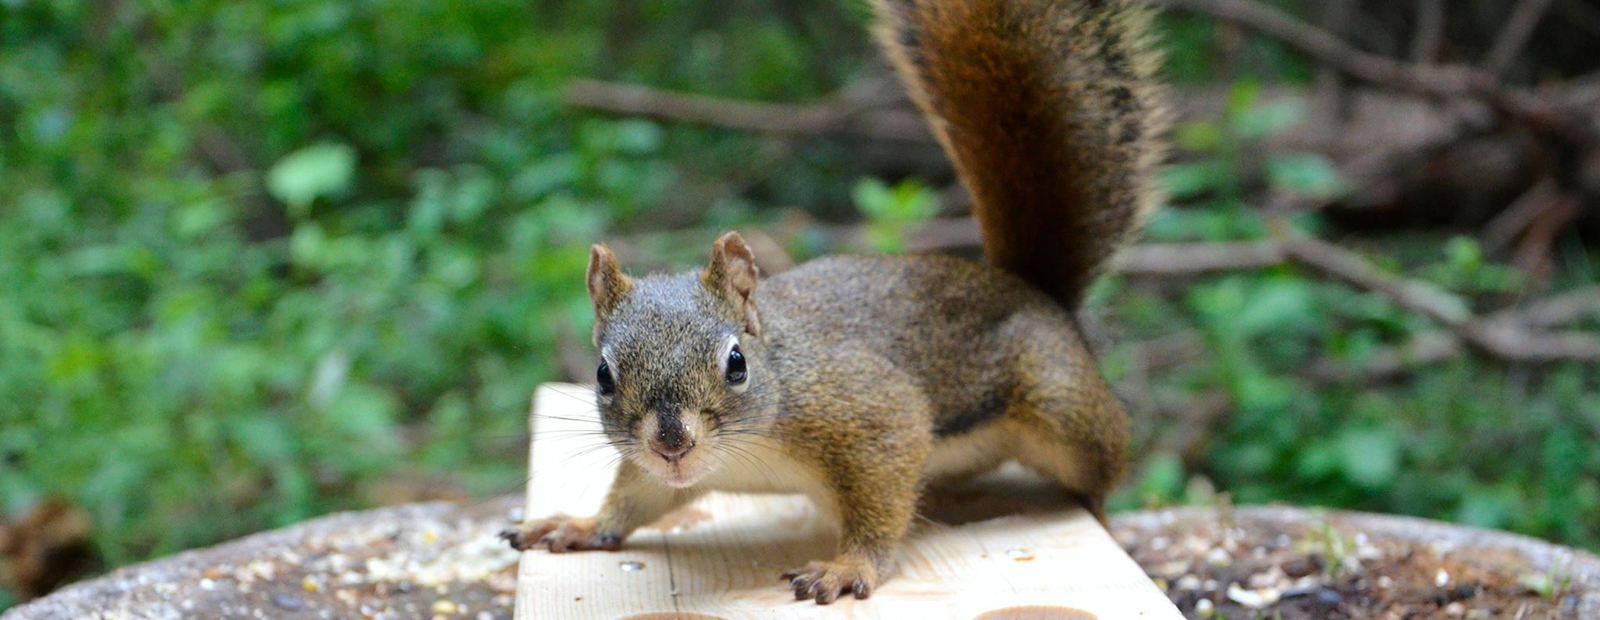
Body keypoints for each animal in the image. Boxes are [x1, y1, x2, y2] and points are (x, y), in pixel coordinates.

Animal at [505, 0, 1171, 604]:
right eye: (602, 375)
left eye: (736, 363)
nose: (672, 444)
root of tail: (1032, 289)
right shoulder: (670, 476)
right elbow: (640, 496)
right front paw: (582, 525)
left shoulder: (870, 410)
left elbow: (883, 492)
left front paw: (850, 565)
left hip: (1061, 407)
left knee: (1098, 470)